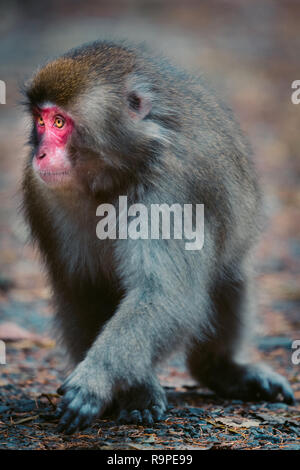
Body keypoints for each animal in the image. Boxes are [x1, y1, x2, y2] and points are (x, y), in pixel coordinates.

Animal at [21, 40, 296, 434]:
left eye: (60, 122)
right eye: (40, 121)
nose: (40, 153)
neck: (116, 173)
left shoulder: (174, 188)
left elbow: (166, 295)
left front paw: (96, 379)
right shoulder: (45, 194)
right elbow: (85, 286)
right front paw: (133, 389)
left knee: (229, 277)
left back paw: (221, 368)